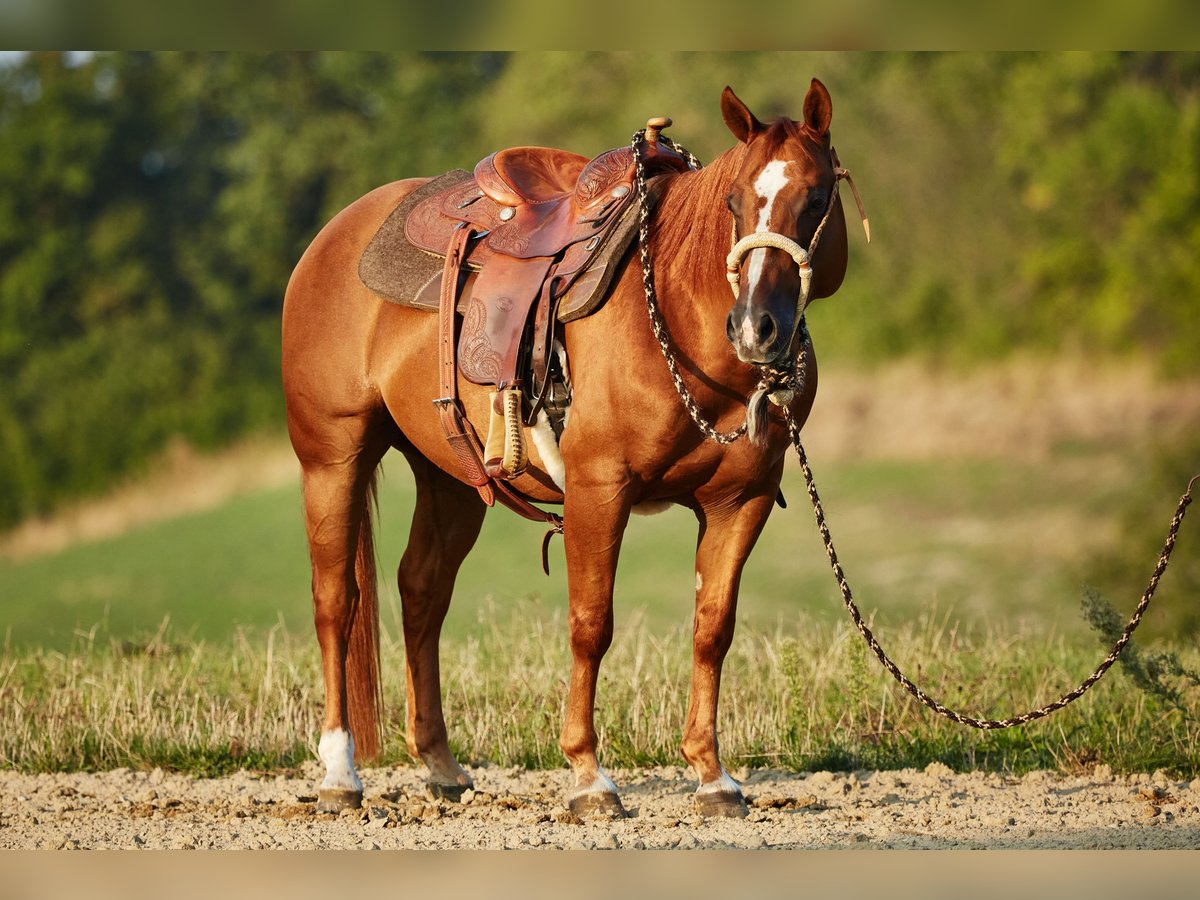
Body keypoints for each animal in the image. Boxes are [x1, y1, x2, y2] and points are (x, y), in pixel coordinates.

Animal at [281, 78, 854, 818]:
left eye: (815, 199)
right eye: (733, 202)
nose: (757, 327)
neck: (676, 318)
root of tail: (335, 234)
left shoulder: (740, 501)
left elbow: (712, 628)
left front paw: (713, 776)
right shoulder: (598, 489)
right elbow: (591, 624)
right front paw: (588, 777)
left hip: (451, 478)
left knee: (421, 591)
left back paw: (440, 764)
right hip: (332, 458)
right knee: (336, 602)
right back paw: (339, 773)